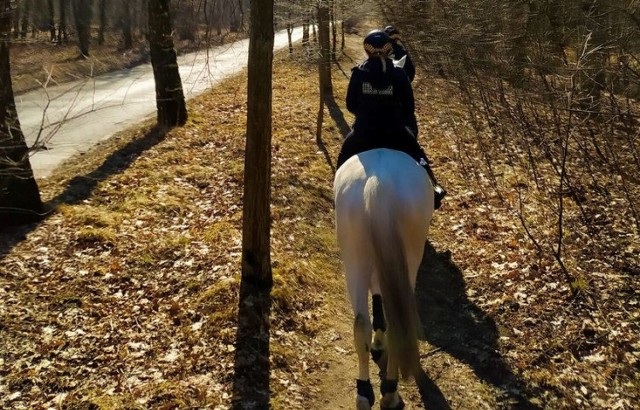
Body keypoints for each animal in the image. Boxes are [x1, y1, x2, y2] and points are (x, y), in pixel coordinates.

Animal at [332, 148, 432, 410]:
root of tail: (380, 182)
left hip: (354, 258)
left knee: (360, 323)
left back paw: (364, 392)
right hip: (409, 258)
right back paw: (390, 393)